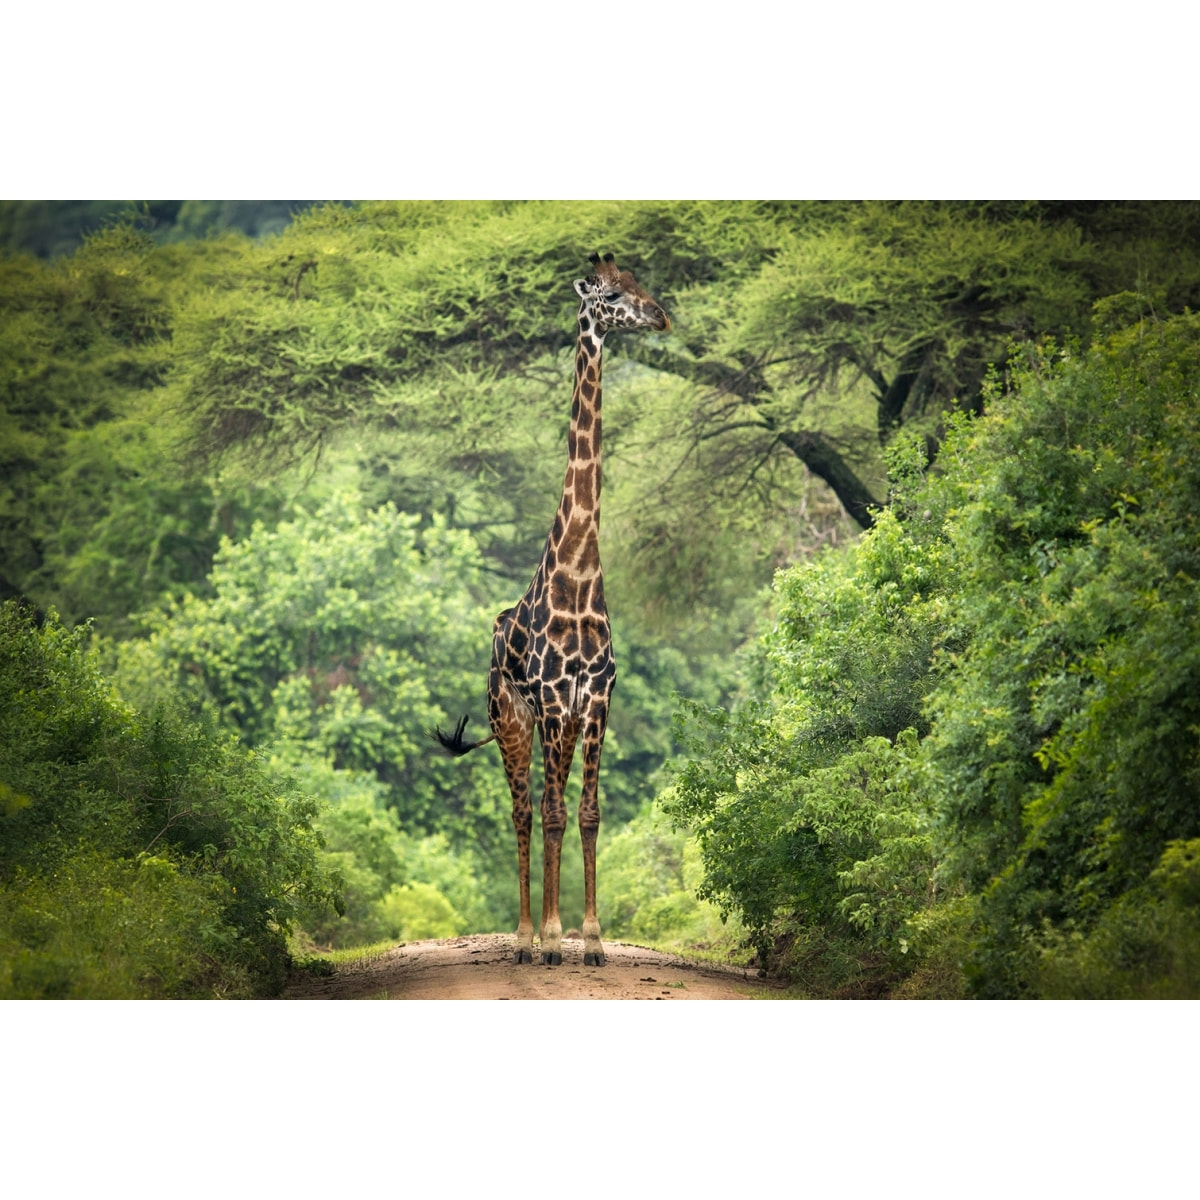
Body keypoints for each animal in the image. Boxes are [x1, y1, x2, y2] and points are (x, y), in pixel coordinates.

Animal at [432, 252, 669, 966]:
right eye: (612, 295)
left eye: (639, 282)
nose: (661, 315)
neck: (580, 576)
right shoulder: (557, 702)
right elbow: (556, 813)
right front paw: (558, 936)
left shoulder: (596, 701)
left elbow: (587, 814)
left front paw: (591, 939)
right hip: (511, 718)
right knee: (523, 809)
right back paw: (524, 938)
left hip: (546, 723)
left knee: (543, 806)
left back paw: (543, 935)